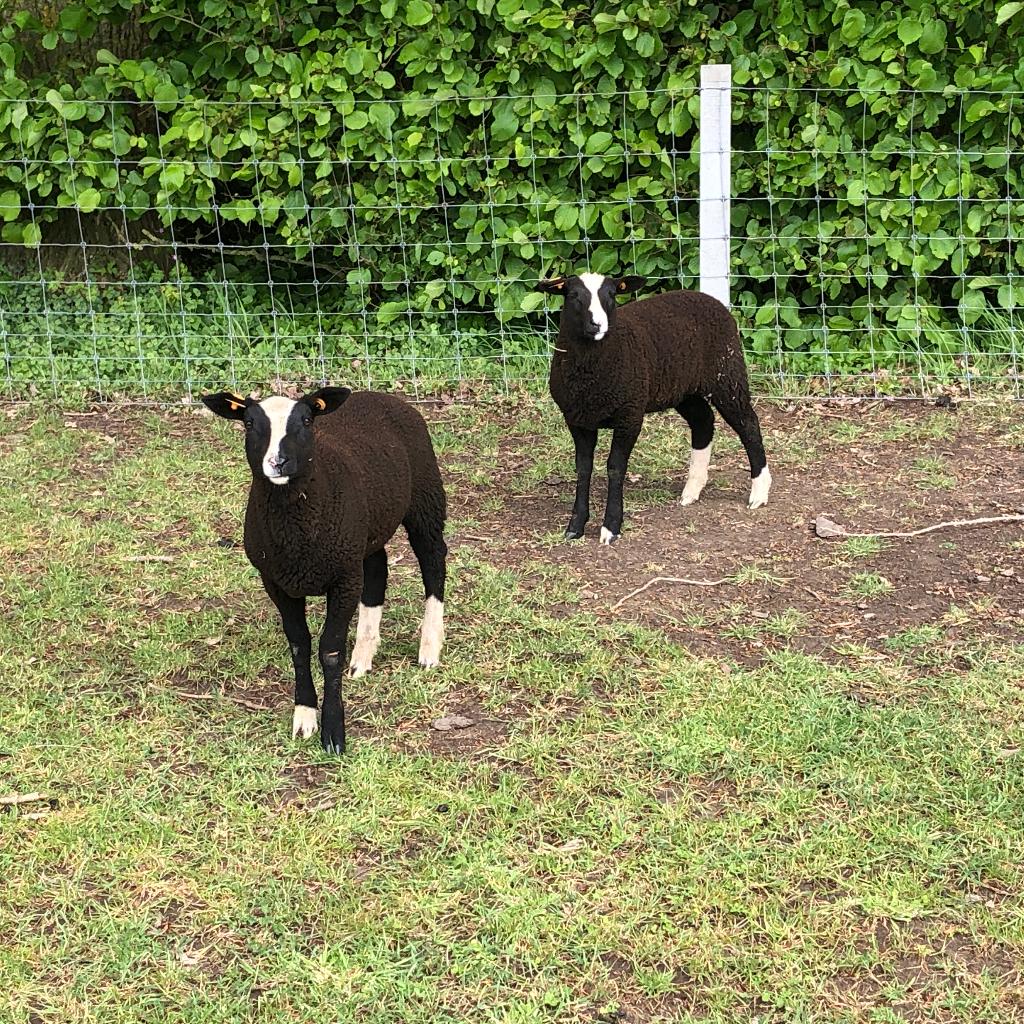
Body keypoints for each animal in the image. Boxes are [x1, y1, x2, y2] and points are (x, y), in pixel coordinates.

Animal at [202, 386, 447, 755]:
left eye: (306, 420)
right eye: (248, 423)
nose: (278, 462)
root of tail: (378, 395)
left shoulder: (342, 578)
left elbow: (329, 651)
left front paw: (333, 733)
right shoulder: (277, 581)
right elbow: (299, 645)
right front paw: (304, 717)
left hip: (425, 497)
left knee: (434, 561)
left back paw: (429, 649)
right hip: (364, 534)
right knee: (377, 569)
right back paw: (363, 656)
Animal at [537, 271, 771, 543]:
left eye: (612, 295)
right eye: (574, 295)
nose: (598, 325)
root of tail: (709, 299)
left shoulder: (630, 415)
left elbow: (615, 468)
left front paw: (611, 527)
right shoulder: (577, 419)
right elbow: (583, 469)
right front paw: (575, 526)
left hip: (726, 374)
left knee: (749, 425)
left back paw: (759, 492)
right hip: (684, 389)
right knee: (703, 421)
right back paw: (692, 490)